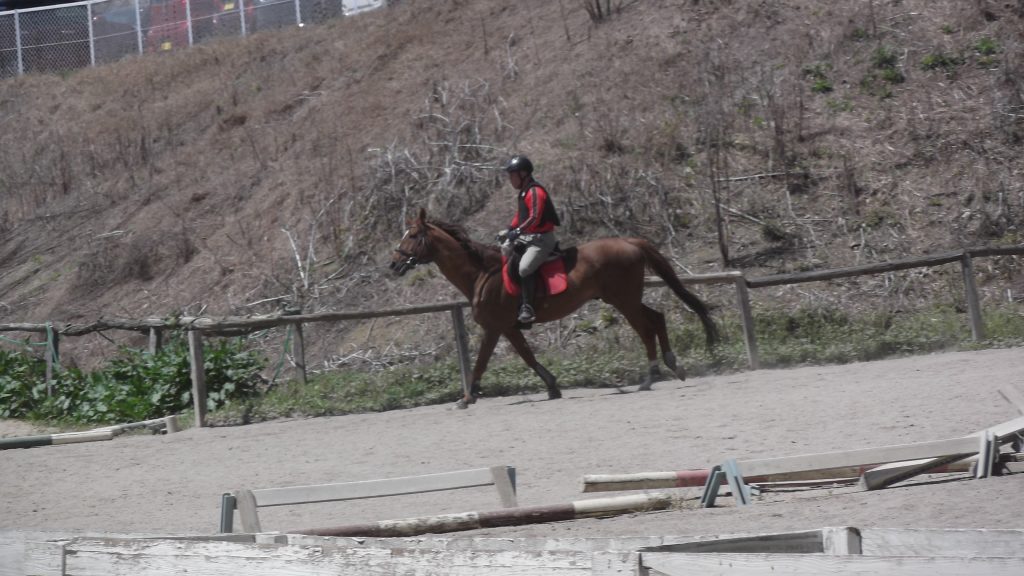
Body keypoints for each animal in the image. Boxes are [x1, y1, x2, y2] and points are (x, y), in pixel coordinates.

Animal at [390, 208, 718, 409]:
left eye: (413, 236)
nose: (393, 264)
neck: (481, 274)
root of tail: (629, 241)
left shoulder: (494, 327)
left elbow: (481, 362)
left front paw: (468, 397)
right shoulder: (509, 328)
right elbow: (527, 356)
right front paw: (552, 386)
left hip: (623, 300)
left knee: (646, 328)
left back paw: (651, 376)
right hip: (624, 299)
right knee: (657, 318)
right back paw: (673, 366)